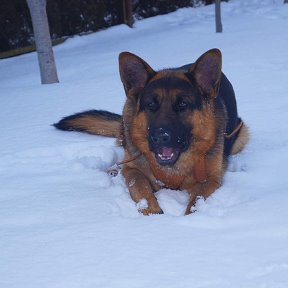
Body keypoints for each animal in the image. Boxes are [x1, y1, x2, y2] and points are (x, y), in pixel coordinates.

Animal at [54, 49, 248, 215]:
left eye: (183, 105)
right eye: (151, 105)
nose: (160, 136)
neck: (172, 170)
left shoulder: (211, 180)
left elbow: (196, 201)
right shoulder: (133, 169)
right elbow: (139, 185)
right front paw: (152, 212)